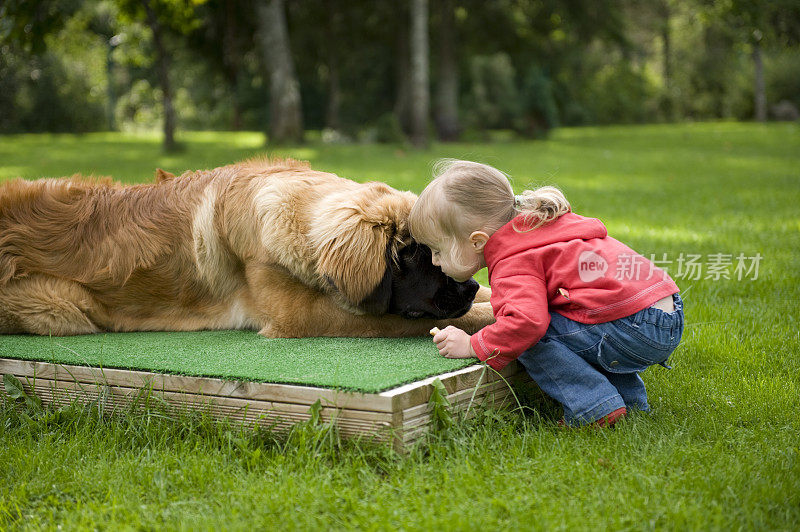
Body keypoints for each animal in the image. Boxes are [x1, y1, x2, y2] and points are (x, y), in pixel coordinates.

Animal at [0, 158, 494, 338]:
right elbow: (423, 320)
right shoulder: (305, 317)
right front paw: (485, 313)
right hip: (59, 307)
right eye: (423, 257)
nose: (469, 287)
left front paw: (491, 296)